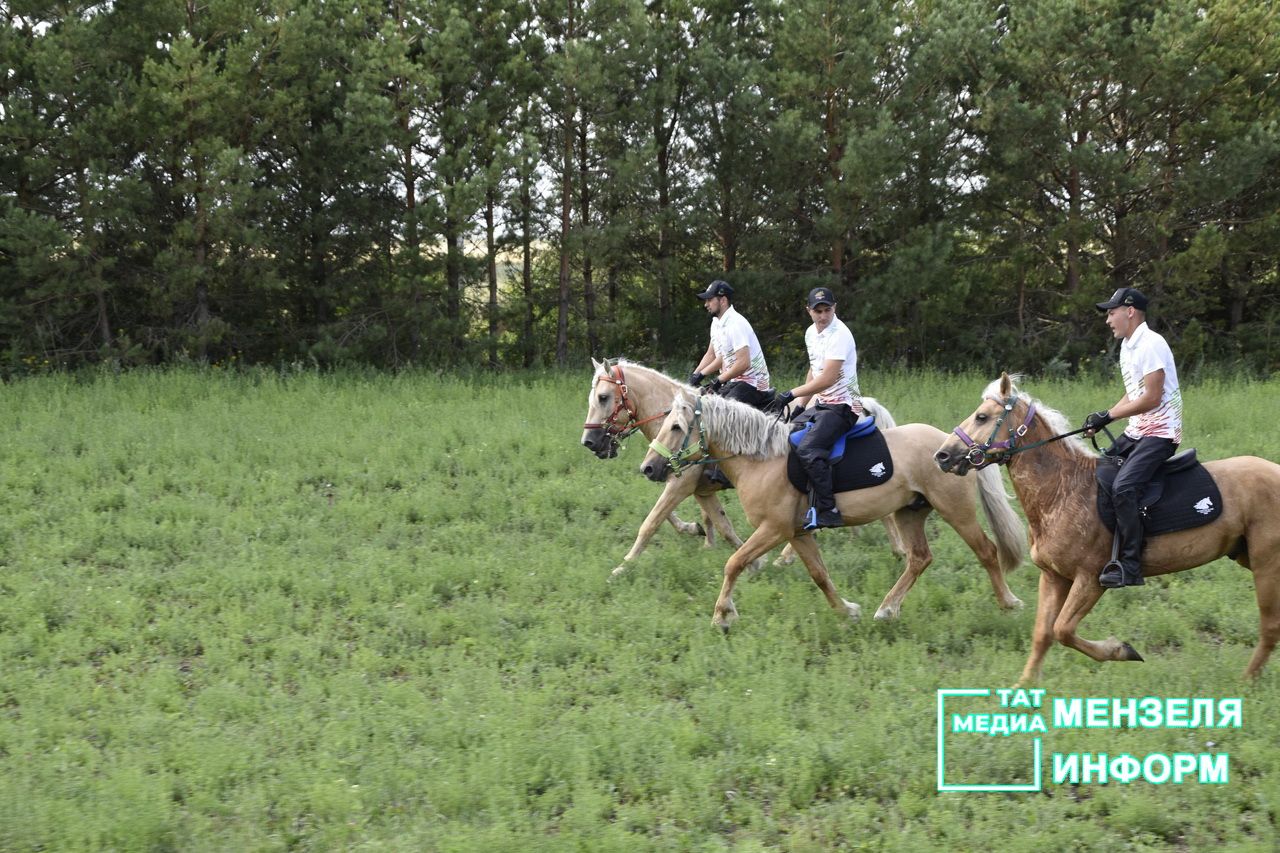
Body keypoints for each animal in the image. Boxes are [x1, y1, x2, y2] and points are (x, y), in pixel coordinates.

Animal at [581, 356, 901, 573]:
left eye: (603, 397)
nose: (590, 442)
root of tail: (863, 406)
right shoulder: (700, 489)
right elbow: (717, 523)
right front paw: (706, 537)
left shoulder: (682, 484)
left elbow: (651, 522)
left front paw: (624, 566)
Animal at [640, 386, 1029, 625]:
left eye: (676, 427)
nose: (649, 468)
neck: (762, 459)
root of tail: (952, 446)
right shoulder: (796, 532)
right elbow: (820, 574)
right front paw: (847, 610)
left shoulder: (773, 529)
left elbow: (734, 563)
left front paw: (722, 615)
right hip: (910, 511)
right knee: (919, 558)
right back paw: (886, 609)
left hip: (956, 511)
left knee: (987, 552)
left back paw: (1009, 602)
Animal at [931, 376, 1280, 681]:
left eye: (982, 416)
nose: (942, 455)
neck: (1063, 490)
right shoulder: (1053, 577)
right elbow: (1043, 633)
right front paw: (1025, 685)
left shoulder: (1090, 580)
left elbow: (1062, 630)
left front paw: (1121, 650)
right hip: (1247, 556)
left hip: (1266, 563)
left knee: (1269, 627)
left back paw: (1247, 681)